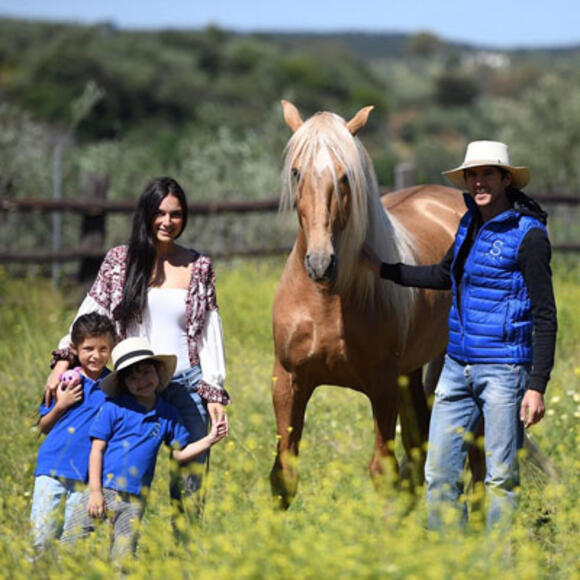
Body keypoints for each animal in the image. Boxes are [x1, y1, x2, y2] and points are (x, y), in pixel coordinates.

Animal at [270, 102, 468, 510]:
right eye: (297, 172)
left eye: (345, 176)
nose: (320, 263)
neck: (327, 300)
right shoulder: (288, 381)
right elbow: (284, 475)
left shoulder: (383, 386)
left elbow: (383, 470)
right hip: (411, 373)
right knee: (420, 445)